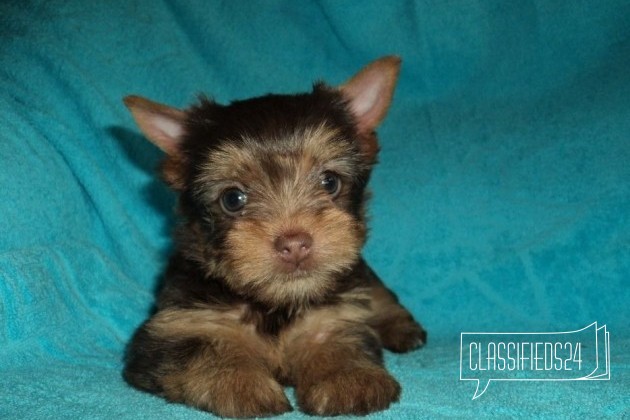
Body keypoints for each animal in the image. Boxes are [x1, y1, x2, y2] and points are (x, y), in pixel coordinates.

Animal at [123, 55, 428, 416]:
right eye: (233, 199)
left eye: (329, 182)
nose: (294, 244)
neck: (275, 303)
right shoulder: (177, 326)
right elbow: (204, 348)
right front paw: (241, 382)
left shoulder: (333, 314)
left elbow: (341, 340)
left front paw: (348, 378)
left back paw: (402, 328)